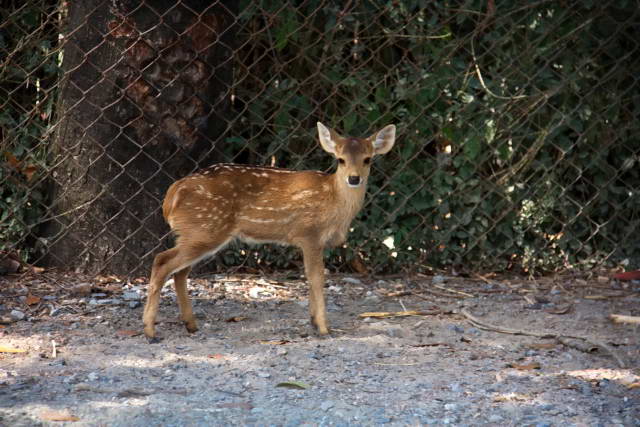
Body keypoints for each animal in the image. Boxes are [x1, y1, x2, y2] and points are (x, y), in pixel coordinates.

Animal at [144, 122, 396, 342]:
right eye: (340, 160)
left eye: (368, 159)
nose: (354, 178)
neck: (333, 201)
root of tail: (171, 196)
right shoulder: (309, 234)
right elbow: (317, 278)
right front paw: (324, 328)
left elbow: (309, 277)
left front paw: (314, 322)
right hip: (205, 229)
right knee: (162, 261)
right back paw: (150, 331)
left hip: (197, 232)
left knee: (179, 272)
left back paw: (191, 325)